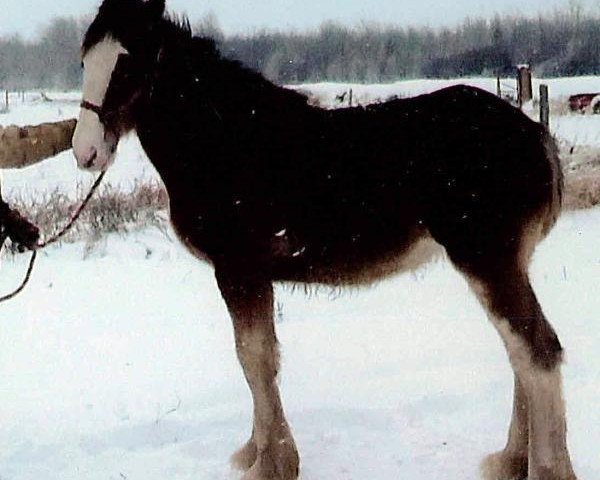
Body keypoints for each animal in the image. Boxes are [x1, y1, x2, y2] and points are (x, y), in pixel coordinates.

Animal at [71, 1, 576, 478]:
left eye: (127, 62)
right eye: (84, 60)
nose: (86, 152)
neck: (227, 142)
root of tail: (536, 136)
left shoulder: (238, 270)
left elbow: (254, 359)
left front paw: (271, 465)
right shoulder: (251, 276)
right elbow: (260, 357)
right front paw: (256, 452)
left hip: (486, 260)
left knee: (536, 350)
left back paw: (546, 468)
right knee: (519, 351)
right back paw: (511, 461)